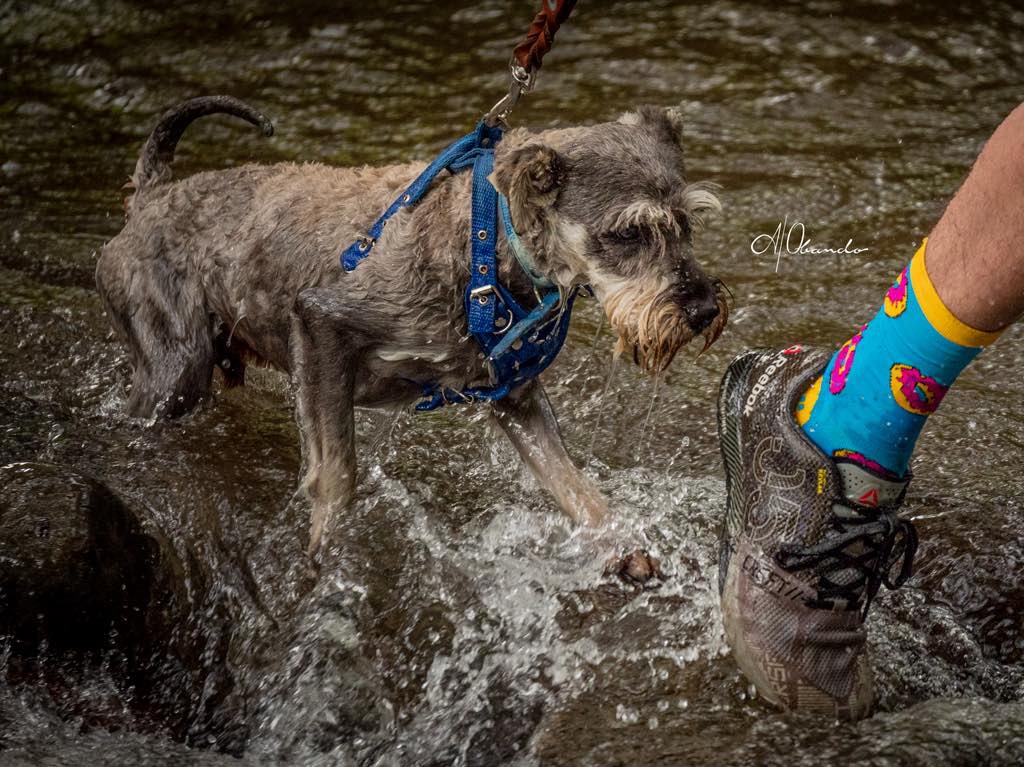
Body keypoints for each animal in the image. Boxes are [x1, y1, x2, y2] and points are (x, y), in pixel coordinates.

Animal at [92, 94, 724, 569]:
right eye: (629, 233)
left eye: (689, 222)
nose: (702, 309)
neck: (486, 246)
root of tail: (149, 198)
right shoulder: (320, 326)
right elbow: (336, 477)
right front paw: (325, 557)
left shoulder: (516, 397)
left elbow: (574, 486)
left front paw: (623, 547)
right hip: (174, 372)